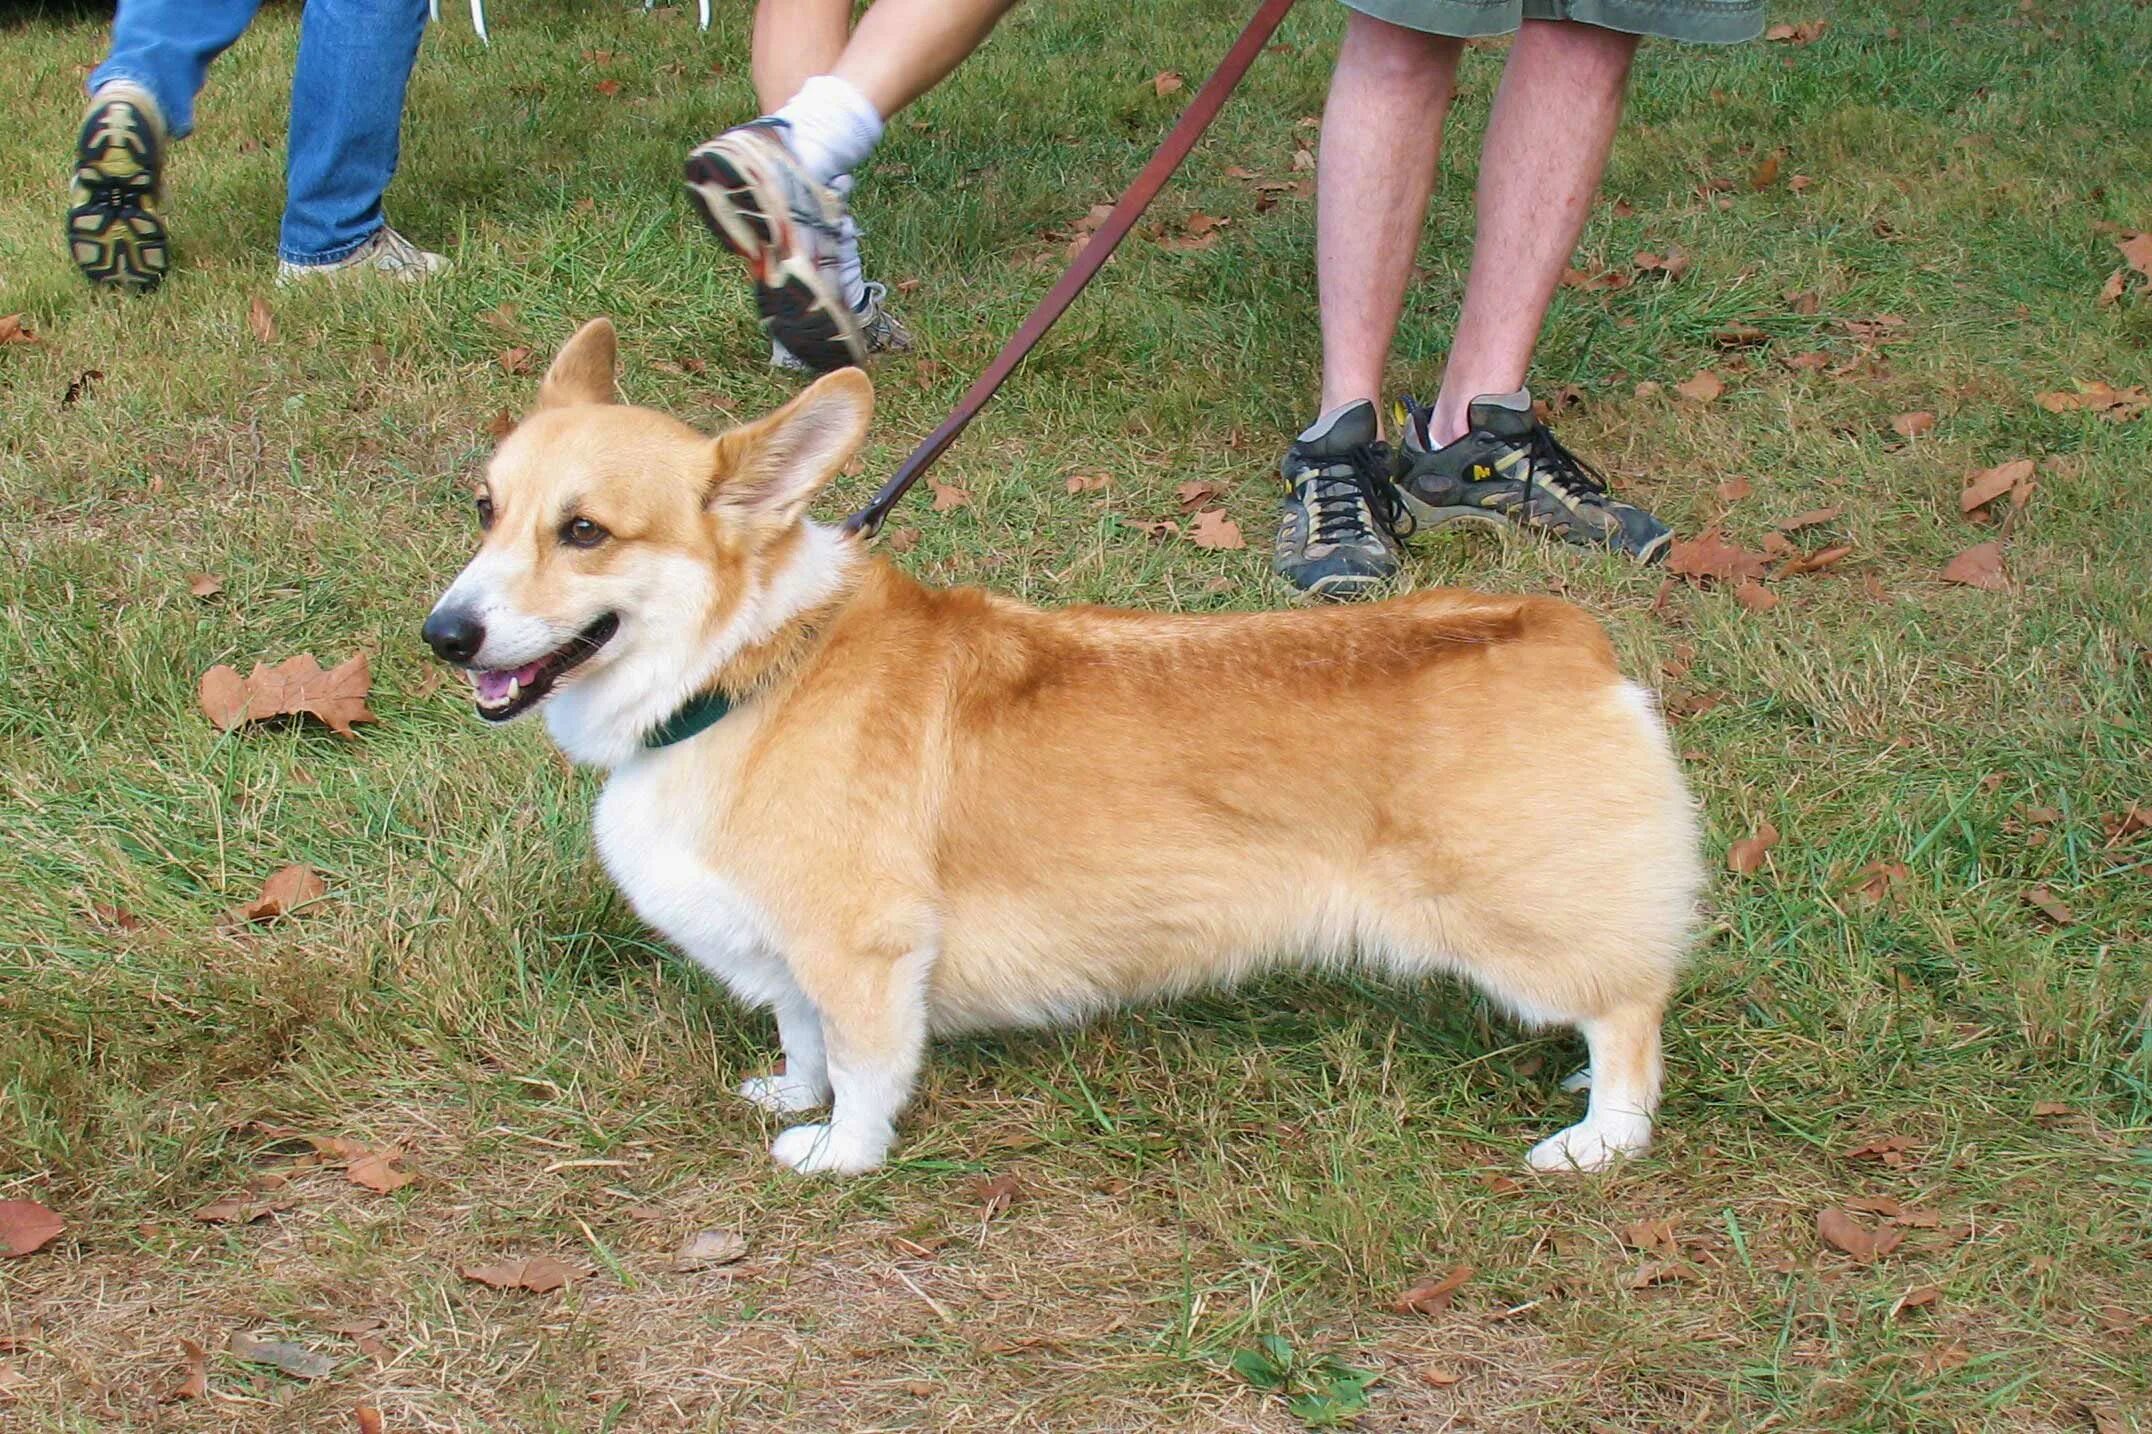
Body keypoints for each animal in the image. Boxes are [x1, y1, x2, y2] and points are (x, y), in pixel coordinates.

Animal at [419, 320, 1695, 1171]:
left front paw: (838, 1156)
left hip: (1514, 923)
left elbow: (867, 1069)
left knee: (1630, 1012)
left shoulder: (863, 951)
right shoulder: (788, 955)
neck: (741, 670)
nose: (442, 635)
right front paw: (789, 1095)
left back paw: (1598, 1138)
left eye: (585, 532)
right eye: (485, 509)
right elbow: (805, 1038)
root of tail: (1562, 635)